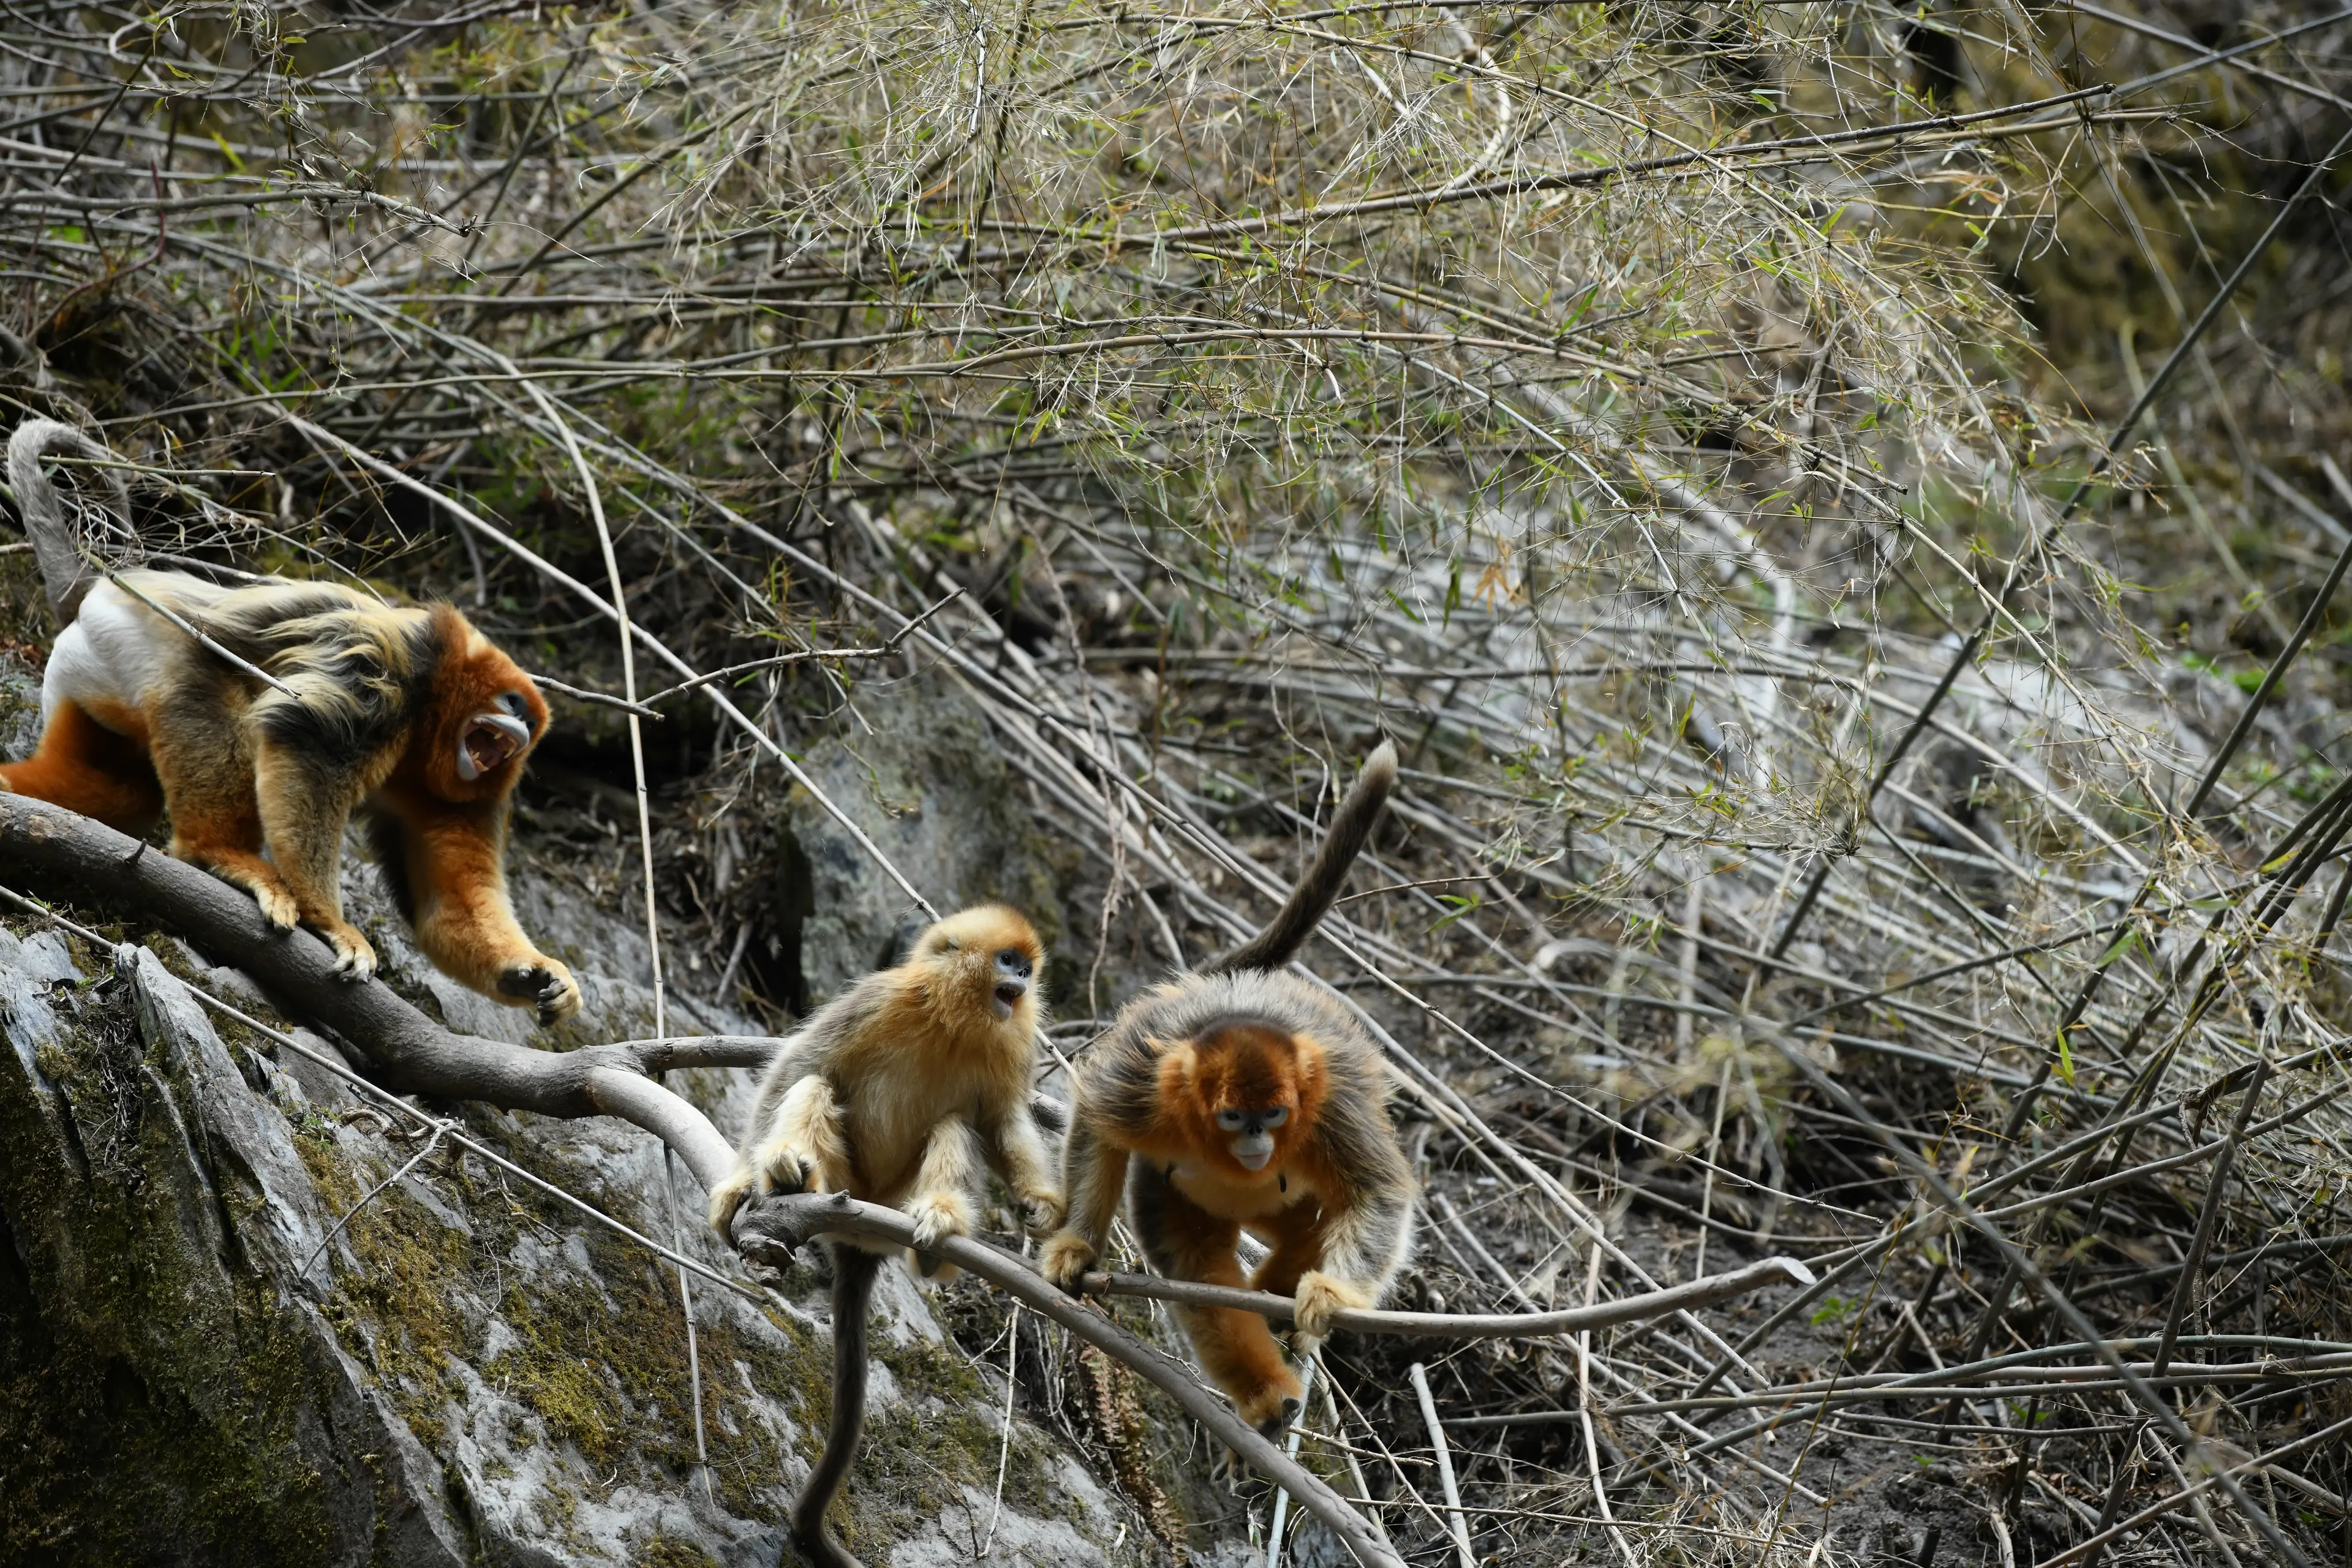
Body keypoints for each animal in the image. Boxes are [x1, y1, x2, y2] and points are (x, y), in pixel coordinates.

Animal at [0, 419, 580, 1023]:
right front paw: (333, 924)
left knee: (122, 793)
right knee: (210, 694)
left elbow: (441, 902)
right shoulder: (394, 668)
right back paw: (217, 855)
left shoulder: (461, 788)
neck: (432, 716)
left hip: (88, 676)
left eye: (523, 723)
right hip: (141, 641)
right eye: (509, 704)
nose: (517, 731)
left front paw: (533, 975)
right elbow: (310, 754)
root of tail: (98, 591)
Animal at [706, 903, 1064, 1568]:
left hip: (891, 1196)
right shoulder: (878, 997)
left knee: (956, 1124)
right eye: (1009, 961)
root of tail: (863, 1232)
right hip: (846, 1177)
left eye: (1027, 969)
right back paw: (784, 1171)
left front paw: (1043, 1206)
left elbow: (1002, 1124)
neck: (953, 1021)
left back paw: (939, 1232)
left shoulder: (1013, 1044)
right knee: (816, 1084)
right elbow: (799, 1064)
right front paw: (738, 1182)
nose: (1022, 982)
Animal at [1041, 741, 1414, 1437]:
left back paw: (1280, 1293)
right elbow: (1099, 1122)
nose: (1257, 1145)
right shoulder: (1145, 1084)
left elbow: (1381, 1192)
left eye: (1275, 1113)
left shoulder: (1332, 1108)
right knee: (1195, 1265)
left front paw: (1334, 1294)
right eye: (1235, 1118)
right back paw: (1268, 1391)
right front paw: (1077, 1242)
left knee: (1312, 1220)